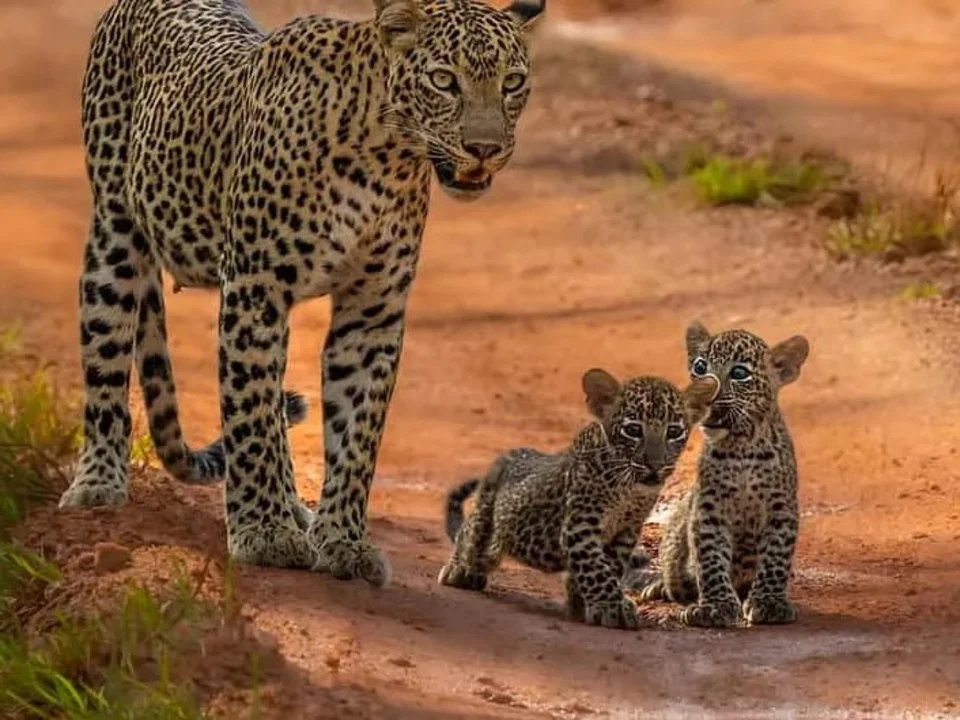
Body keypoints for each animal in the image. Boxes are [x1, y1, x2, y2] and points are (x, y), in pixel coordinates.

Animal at [60, 0, 546, 586]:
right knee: (108, 365)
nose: (484, 149)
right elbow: (250, 416)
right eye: (444, 80)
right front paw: (263, 532)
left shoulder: (372, 312)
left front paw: (343, 541)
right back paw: (98, 483)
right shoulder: (256, 287)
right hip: (115, 233)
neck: (385, 158)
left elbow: (357, 434)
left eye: (513, 82)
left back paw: (297, 508)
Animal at [438, 370, 705, 629]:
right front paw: (613, 608)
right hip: (488, 509)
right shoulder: (580, 524)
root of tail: (507, 454)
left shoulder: (626, 531)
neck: (630, 488)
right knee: (471, 532)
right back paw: (459, 570)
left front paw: (583, 604)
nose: (655, 465)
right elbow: (596, 568)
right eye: (633, 430)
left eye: (674, 432)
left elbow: (610, 566)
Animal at [638, 321, 810, 628]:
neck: (741, 448)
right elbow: (710, 559)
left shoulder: (782, 508)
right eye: (700, 366)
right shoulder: (708, 509)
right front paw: (714, 607)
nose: (705, 391)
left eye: (739, 373)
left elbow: (775, 557)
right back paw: (658, 588)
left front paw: (769, 602)